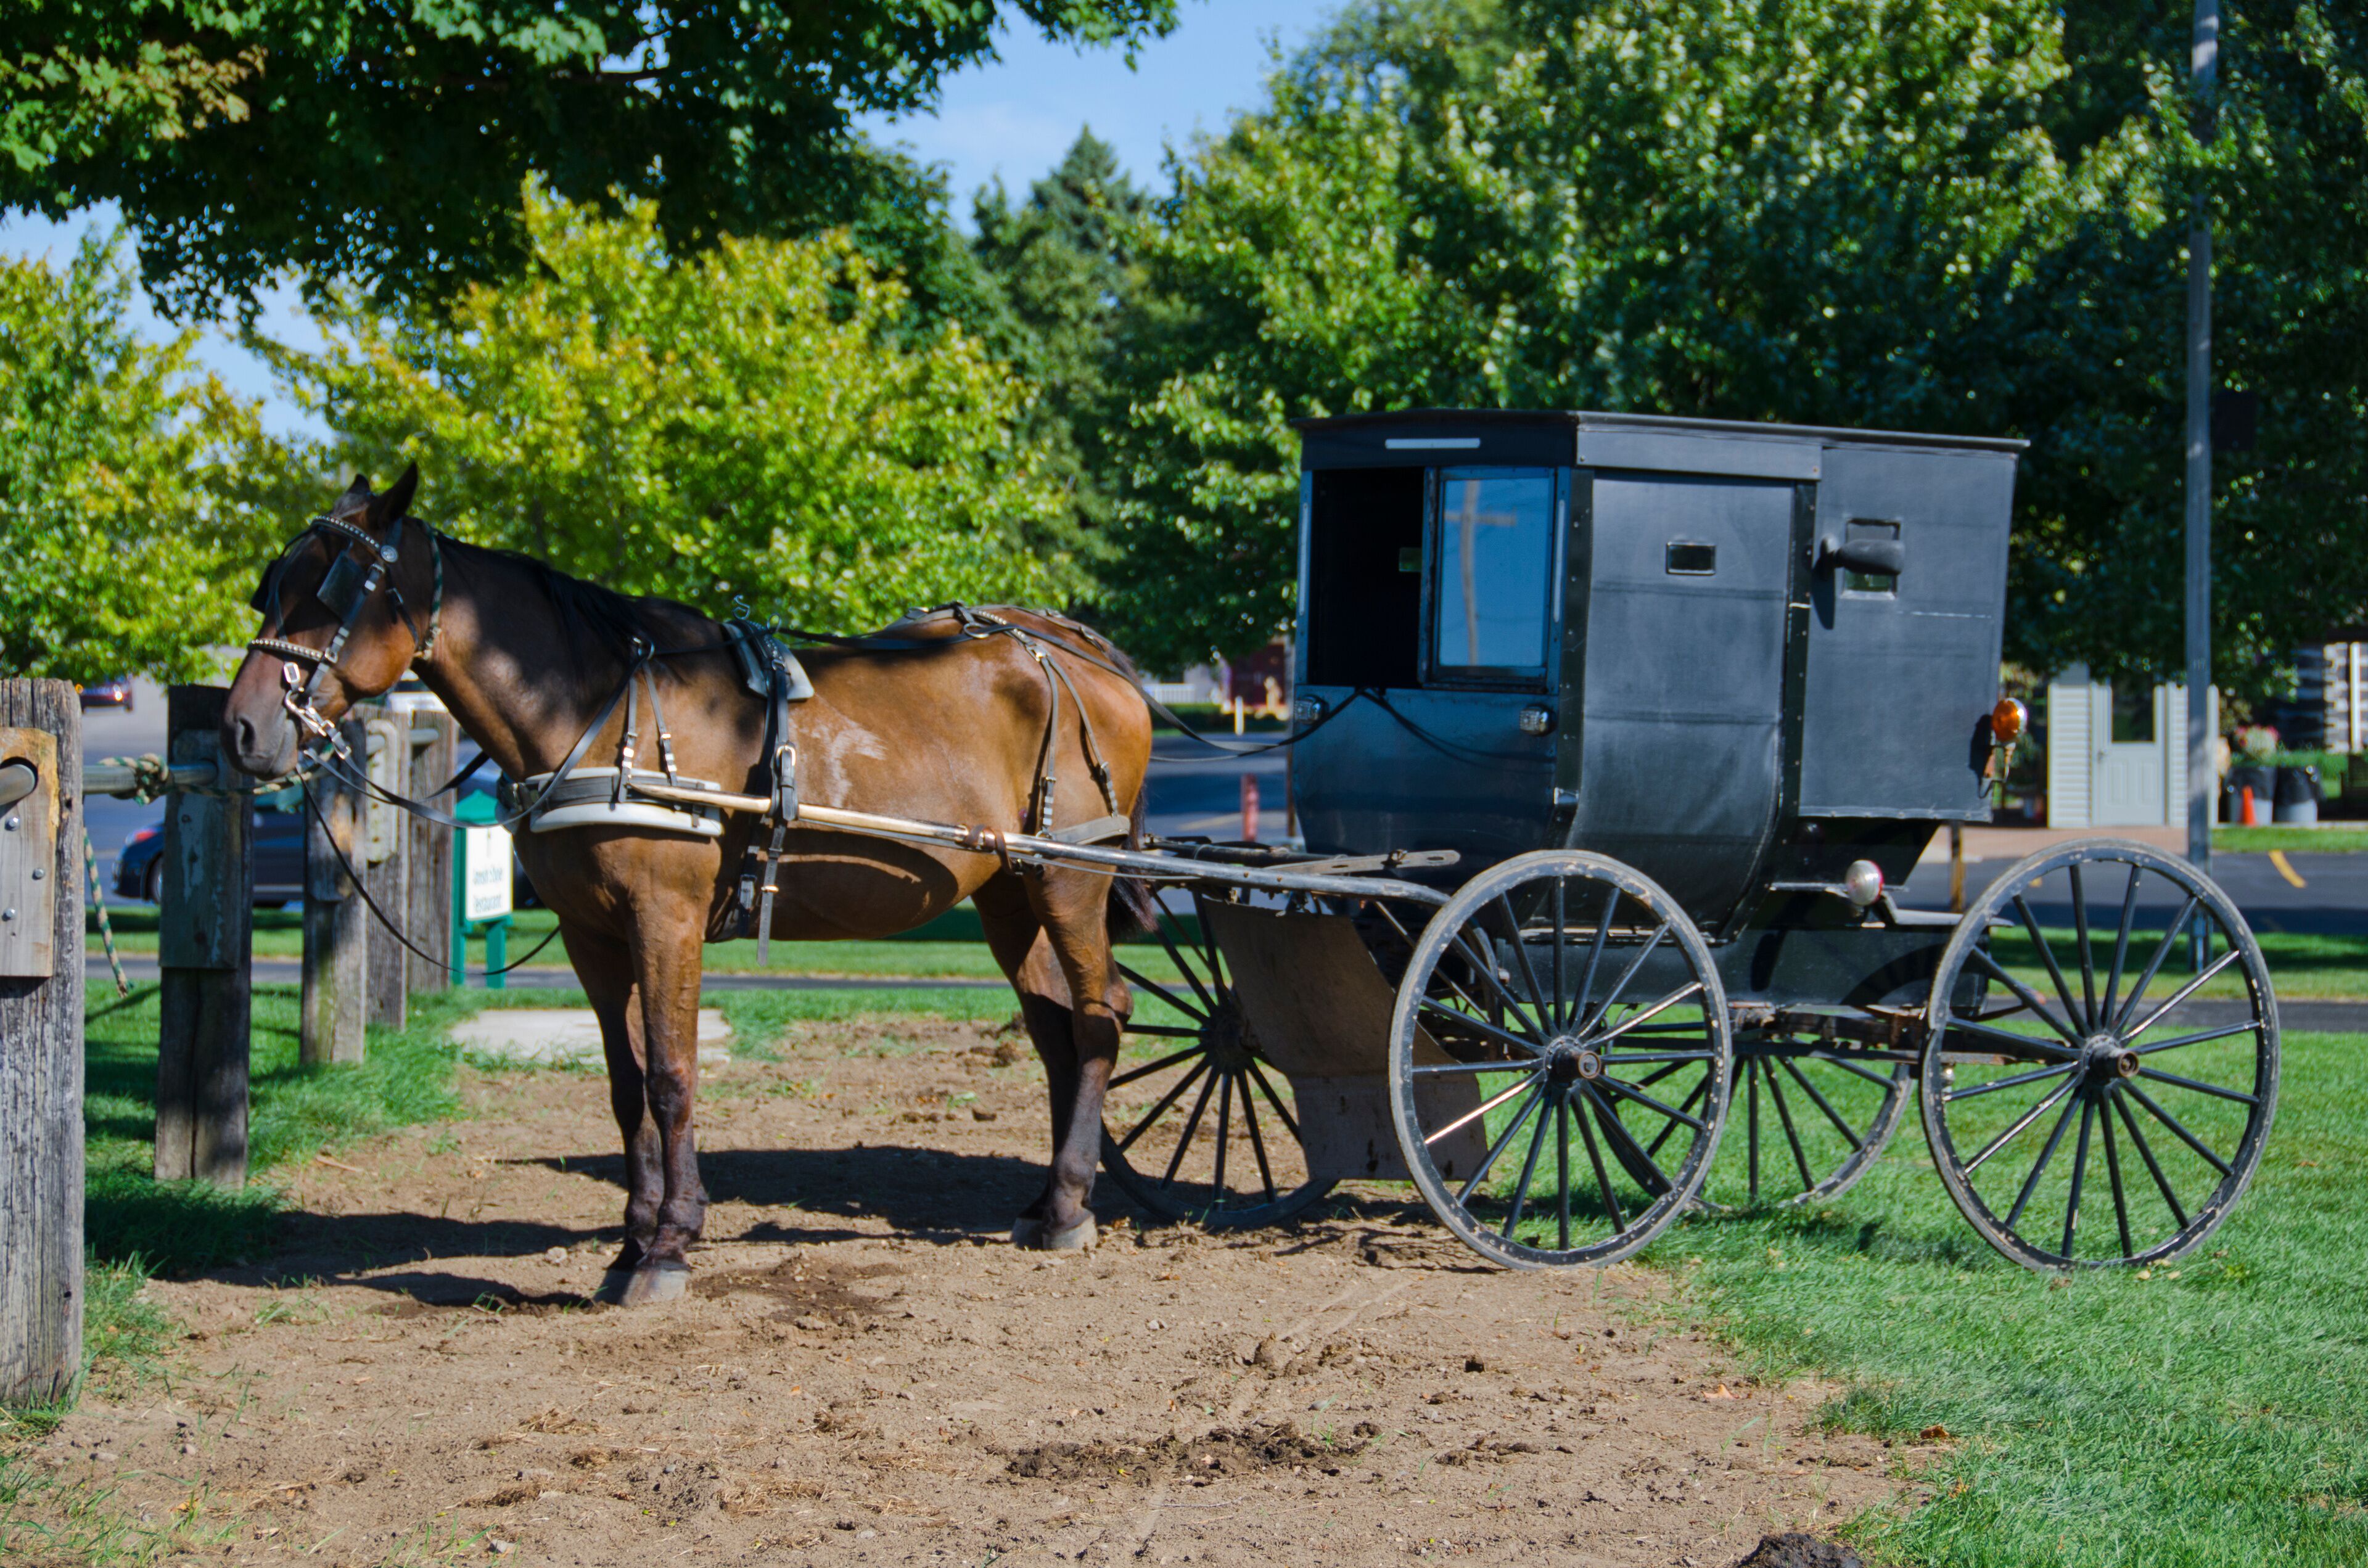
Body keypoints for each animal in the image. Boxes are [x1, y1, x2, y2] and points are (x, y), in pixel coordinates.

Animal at [221, 466, 1158, 1304]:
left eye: (336, 588)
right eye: (271, 586)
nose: (244, 728)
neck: (600, 708)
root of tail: (1075, 650)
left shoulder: (663, 915)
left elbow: (673, 1072)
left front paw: (669, 1245)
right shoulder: (593, 932)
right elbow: (624, 1081)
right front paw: (631, 1241)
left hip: (1071, 878)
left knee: (1100, 1011)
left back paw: (1069, 1204)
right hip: (1009, 890)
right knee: (1054, 1027)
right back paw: (1050, 1195)